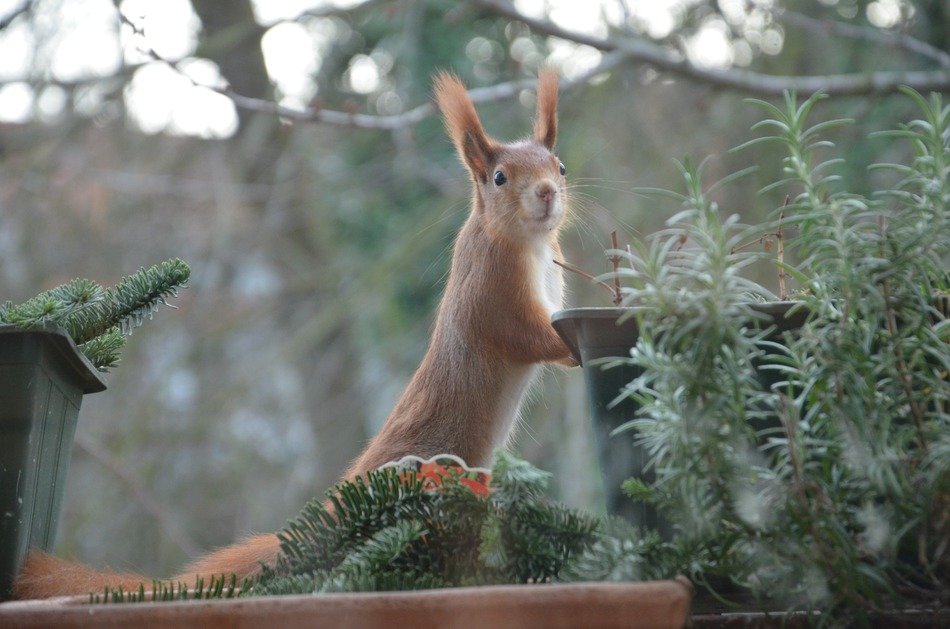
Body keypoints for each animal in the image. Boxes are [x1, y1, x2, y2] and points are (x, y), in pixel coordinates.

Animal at [13, 69, 576, 599]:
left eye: (561, 167)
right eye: (499, 177)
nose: (548, 193)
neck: (527, 245)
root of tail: (333, 513)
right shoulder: (493, 292)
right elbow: (527, 337)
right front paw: (575, 344)